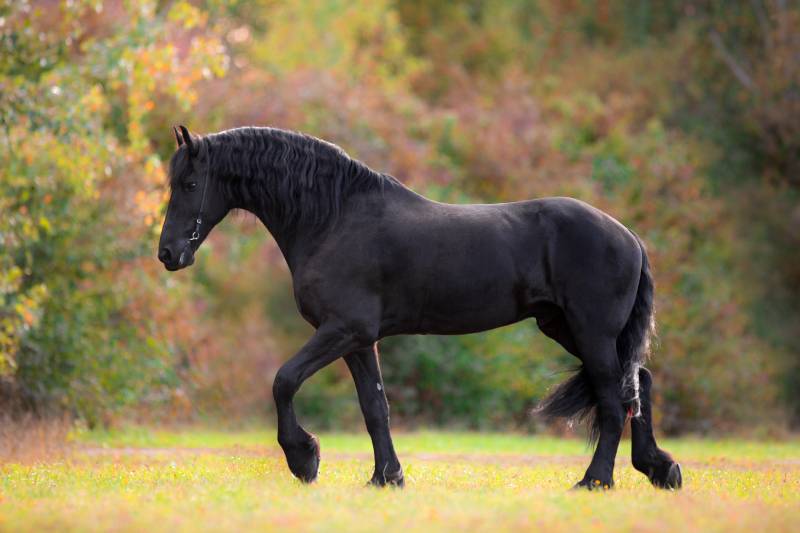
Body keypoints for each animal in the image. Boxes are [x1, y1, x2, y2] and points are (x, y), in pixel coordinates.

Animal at [158, 125, 682, 490]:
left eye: (189, 183)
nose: (168, 254)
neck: (334, 218)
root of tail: (630, 238)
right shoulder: (358, 340)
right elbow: (375, 407)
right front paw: (386, 477)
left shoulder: (343, 330)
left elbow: (284, 380)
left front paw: (304, 458)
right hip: (569, 329)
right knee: (638, 383)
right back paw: (660, 469)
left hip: (591, 332)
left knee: (615, 400)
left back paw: (595, 480)